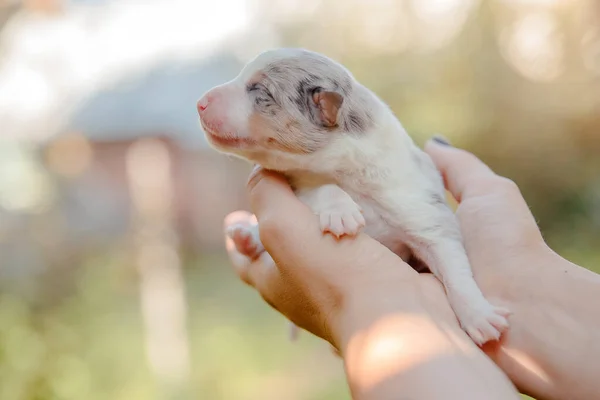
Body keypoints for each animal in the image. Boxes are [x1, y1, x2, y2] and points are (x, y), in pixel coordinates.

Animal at [198, 48, 510, 346]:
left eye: (259, 90)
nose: (200, 102)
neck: (349, 173)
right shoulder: (302, 184)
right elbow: (324, 188)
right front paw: (341, 212)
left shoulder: (425, 213)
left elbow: (453, 265)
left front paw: (479, 315)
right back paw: (247, 235)